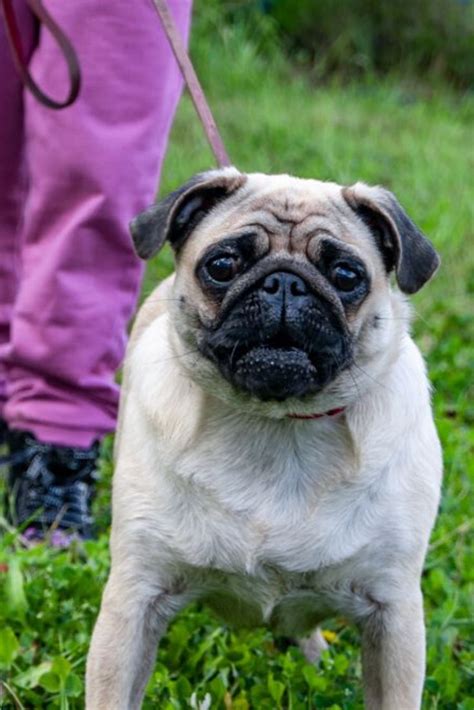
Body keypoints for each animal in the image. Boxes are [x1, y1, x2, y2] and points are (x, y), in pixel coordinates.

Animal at [87, 170, 442, 708]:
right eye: (222, 265)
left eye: (346, 276)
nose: (286, 283)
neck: (278, 423)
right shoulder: (135, 600)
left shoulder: (393, 611)